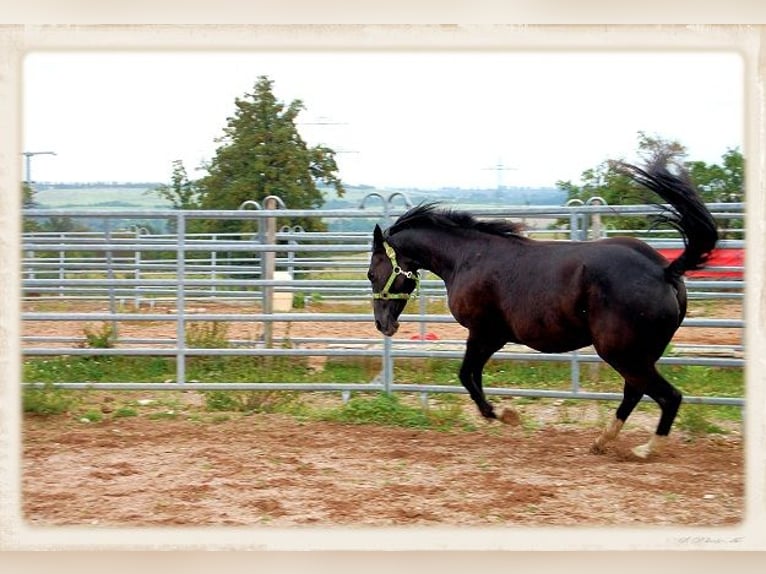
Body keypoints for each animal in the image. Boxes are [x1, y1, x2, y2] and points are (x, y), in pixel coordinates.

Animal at [368, 160, 724, 462]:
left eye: (372, 273)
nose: (383, 325)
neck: (468, 258)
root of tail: (665, 270)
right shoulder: (490, 336)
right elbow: (471, 375)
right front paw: (504, 414)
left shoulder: (485, 333)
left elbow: (467, 375)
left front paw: (505, 415)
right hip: (637, 354)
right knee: (636, 392)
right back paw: (602, 441)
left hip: (622, 352)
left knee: (667, 396)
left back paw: (645, 449)